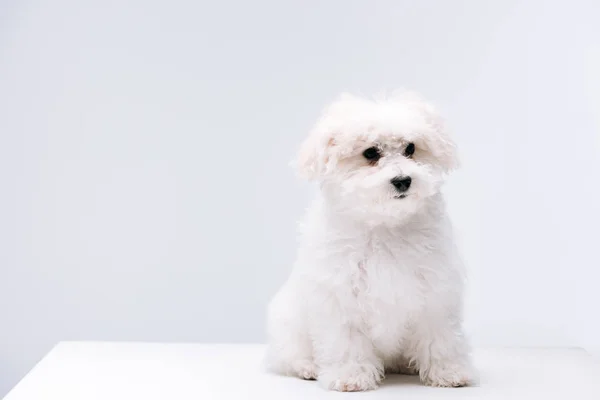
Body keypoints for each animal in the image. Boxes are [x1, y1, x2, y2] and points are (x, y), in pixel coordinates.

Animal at [264, 90, 476, 390]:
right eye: (371, 153)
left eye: (411, 148)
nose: (403, 180)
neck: (384, 223)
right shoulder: (340, 294)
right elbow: (347, 340)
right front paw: (350, 376)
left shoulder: (435, 289)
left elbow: (441, 334)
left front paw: (448, 371)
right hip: (287, 323)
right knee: (289, 355)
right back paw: (308, 367)